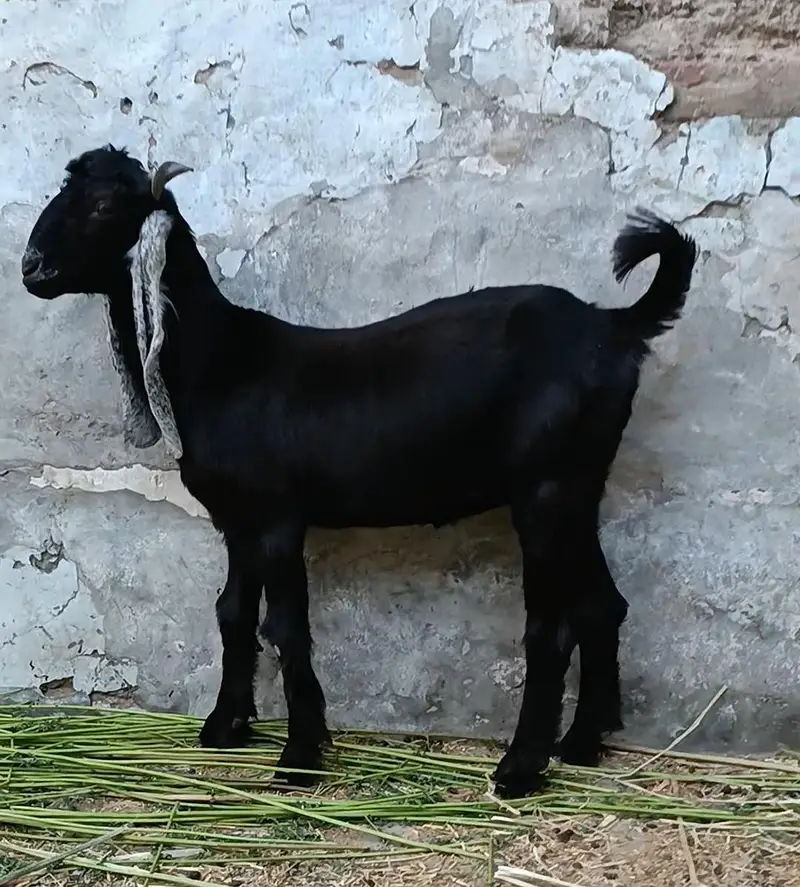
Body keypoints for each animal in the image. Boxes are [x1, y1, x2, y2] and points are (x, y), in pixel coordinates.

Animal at [21, 145, 697, 799]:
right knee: (602, 605)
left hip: (545, 486)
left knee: (551, 630)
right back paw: (582, 743)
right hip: (578, 484)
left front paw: (299, 757)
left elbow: (285, 627)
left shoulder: (276, 518)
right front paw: (225, 727)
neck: (222, 362)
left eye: (104, 205)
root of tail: (615, 324)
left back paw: (521, 768)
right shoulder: (237, 519)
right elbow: (231, 612)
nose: (31, 268)